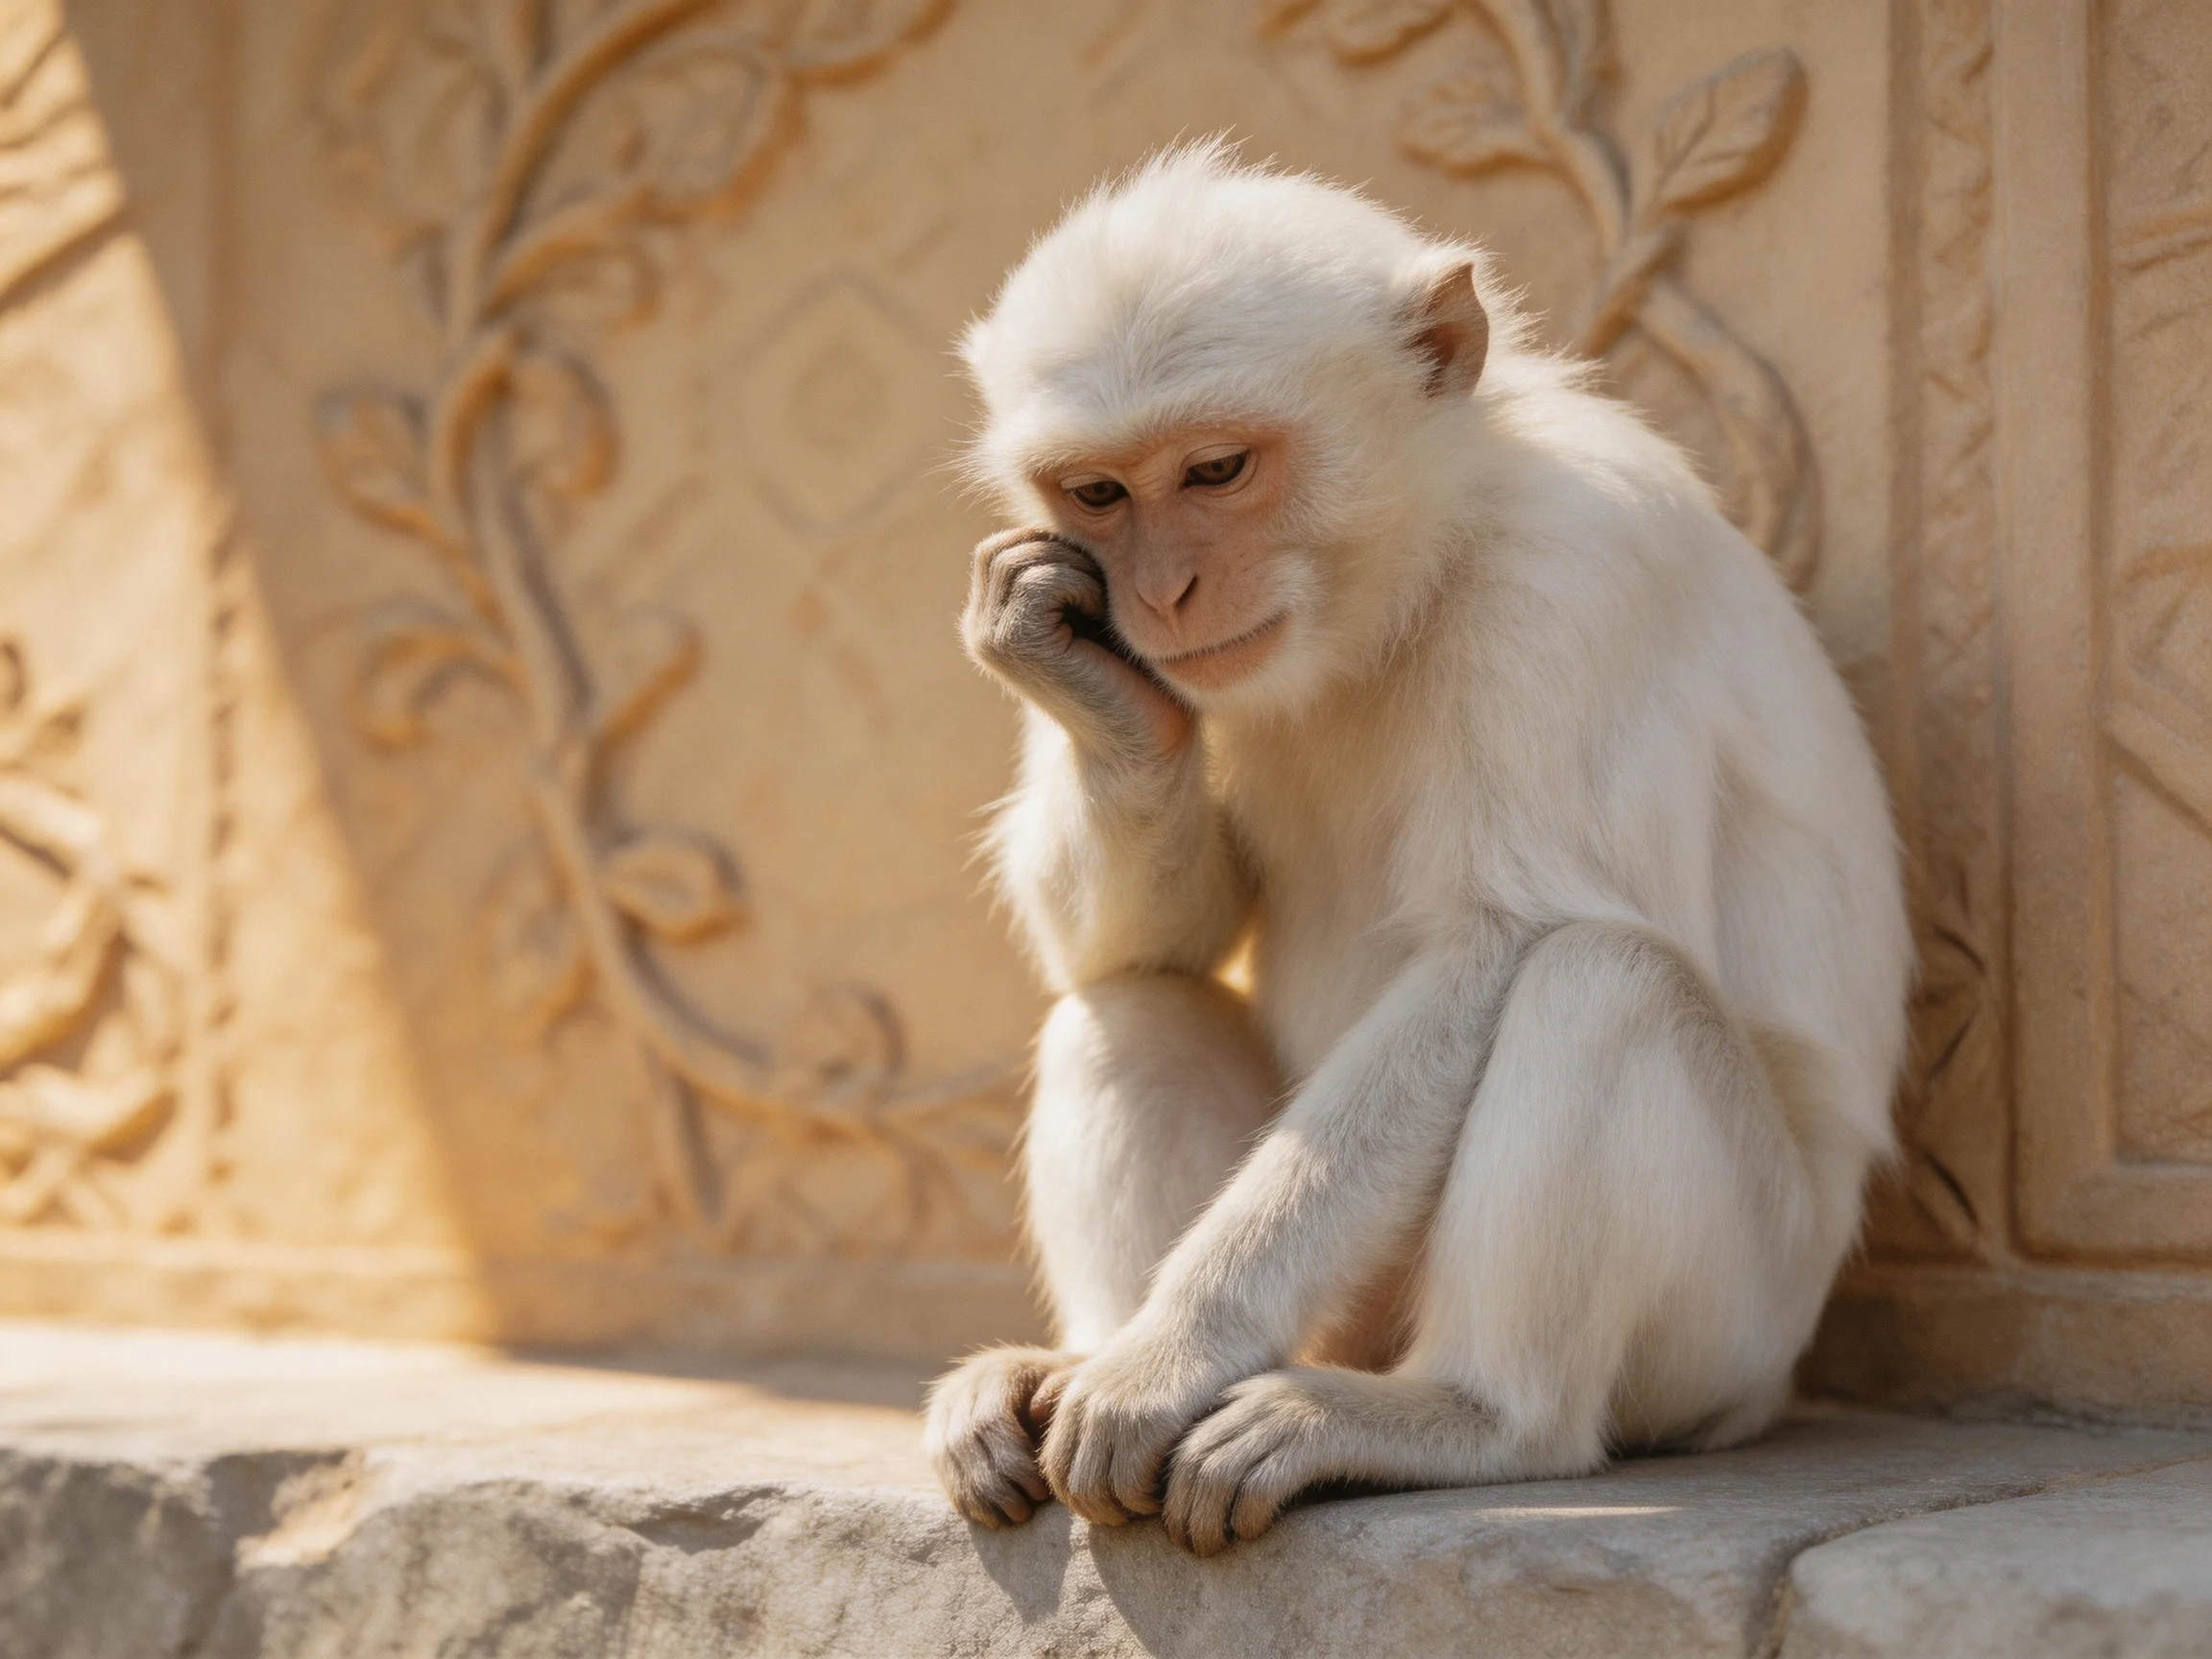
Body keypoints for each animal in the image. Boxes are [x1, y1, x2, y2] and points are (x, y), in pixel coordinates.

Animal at [923, 143, 1910, 1558]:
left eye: (1216, 471)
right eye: (1100, 494)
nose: (1162, 593)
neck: (1418, 566)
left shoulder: (1564, 584)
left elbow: (1493, 948)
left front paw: (1168, 1357)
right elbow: (1156, 940)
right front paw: (1082, 680)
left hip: (1733, 1329)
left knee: (1599, 977)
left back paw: (1464, 1418)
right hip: (1367, 1305)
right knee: (1131, 1000)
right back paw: (1070, 1360)